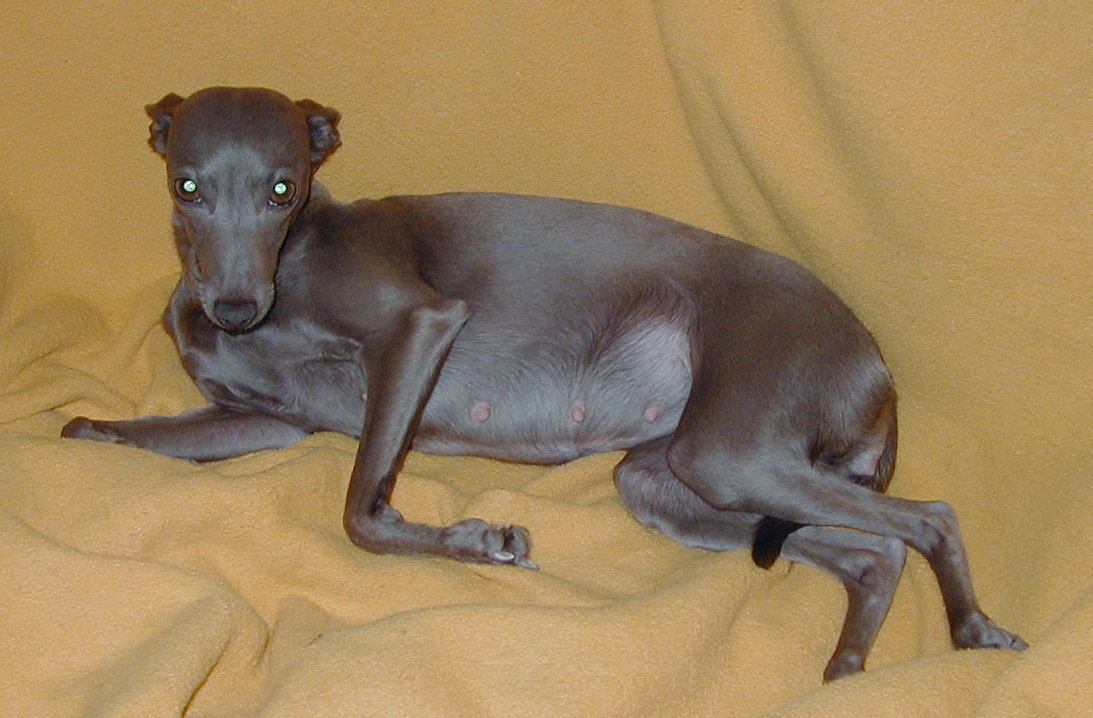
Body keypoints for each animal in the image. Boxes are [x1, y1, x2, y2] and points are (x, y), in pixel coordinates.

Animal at [61, 86, 1026, 680]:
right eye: (186, 186)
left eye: (282, 188)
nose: (232, 308)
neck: (288, 268)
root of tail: (876, 366)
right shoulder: (267, 422)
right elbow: (123, 433)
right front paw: (86, 429)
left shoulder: (417, 326)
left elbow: (361, 513)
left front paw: (477, 540)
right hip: (671, 483)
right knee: (873, 550)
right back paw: (846, 670)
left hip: (732, 445)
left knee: (928, 518)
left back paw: (972, 629)